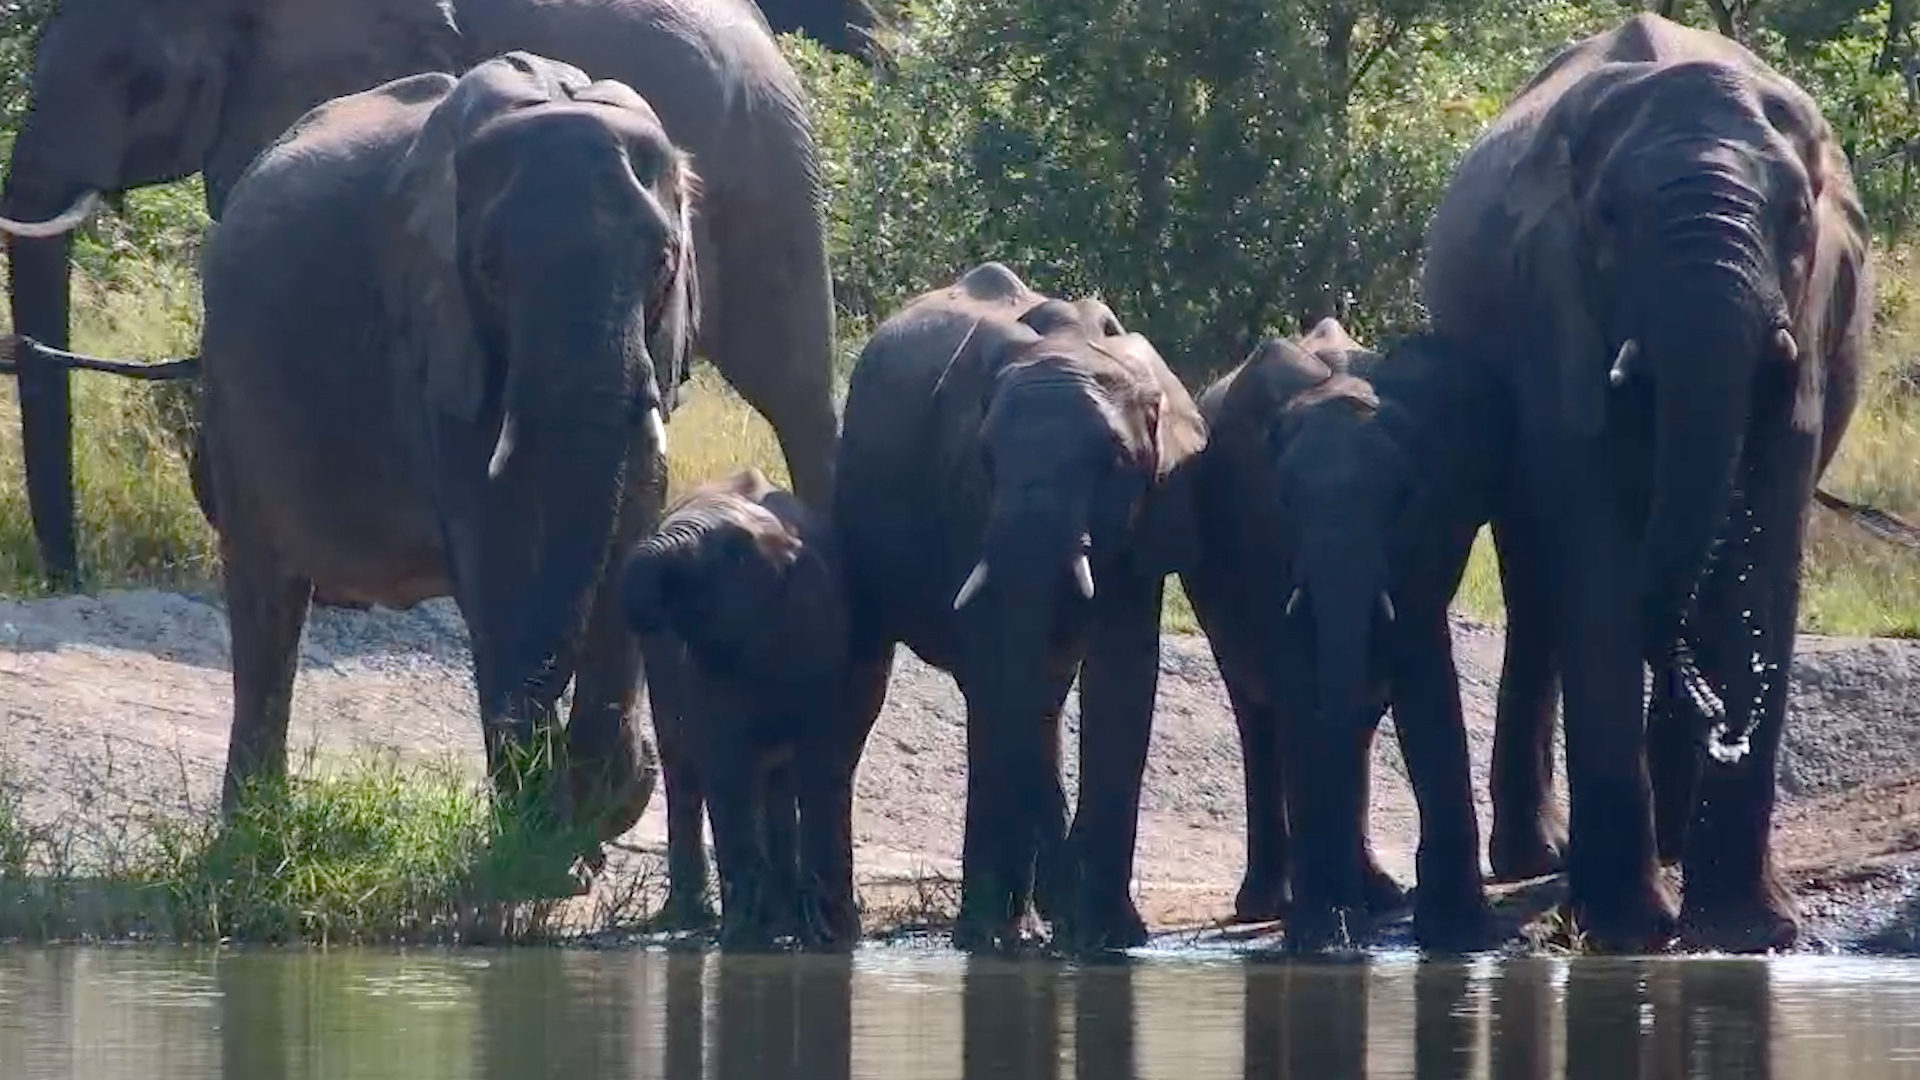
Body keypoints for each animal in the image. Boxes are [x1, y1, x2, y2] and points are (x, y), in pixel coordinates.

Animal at [193, 52, 701, 860]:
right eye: (489, 270)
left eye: (661, 261)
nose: (633, 777)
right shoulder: (436, 331)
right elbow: (494, 549)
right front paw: (543, 853)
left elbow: (636, 502)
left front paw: (599, 806)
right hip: (231, 390)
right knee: (265, 600)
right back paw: (251, 844)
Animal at [620, 467, 857, 949]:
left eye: (735, 554)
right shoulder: (703, 662)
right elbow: (726, 766)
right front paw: (745, 938)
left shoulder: (822, 637)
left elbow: (820, 760)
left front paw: (826, 939)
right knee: (684, 770)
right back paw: (696, 918)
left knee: (780, 780)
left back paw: (786, 920)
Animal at [833, 262, 1206, 952]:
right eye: (985, 459)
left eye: (1113, 461)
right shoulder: (965, 501)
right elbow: (1000, 657)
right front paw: (1002, 936)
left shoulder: (1152, 507)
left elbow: (1122, 672)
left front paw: (1109, 937)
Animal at [1182, 318, 1515, 951]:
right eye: (1286, 498)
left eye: (1402, 497)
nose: (1343, 931)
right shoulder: (1261, 537)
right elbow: (1300, 685)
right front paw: (1321, 937)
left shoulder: (1434, 532)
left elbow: (1429, 683)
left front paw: (1462, 936)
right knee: (1260, 720)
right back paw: (1276, 904)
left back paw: (1377, 896)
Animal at [1420, 13, 1873, 951]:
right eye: (1608, 218)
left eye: (1795, 217)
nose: (1718, 718)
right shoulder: (1550, 302)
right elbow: (1595, 559)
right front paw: (1628, 932)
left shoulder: (1812, 324)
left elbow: (1765, 543)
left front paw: (1745, 934)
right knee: (1540, 584)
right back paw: (1545, 854)